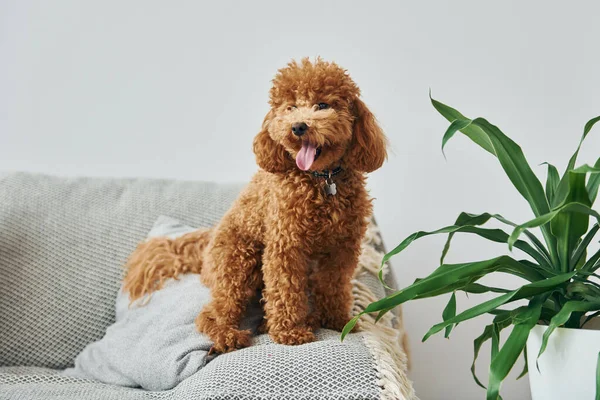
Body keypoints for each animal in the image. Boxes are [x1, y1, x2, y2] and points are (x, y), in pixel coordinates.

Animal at [125, 57, 390, 354]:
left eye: (322, 105)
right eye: (290, 107)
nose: (298, 127)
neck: (322, 180)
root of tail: (207, 247)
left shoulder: (342, 248)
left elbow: (333, 285)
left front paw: (337, 321)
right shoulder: (285, 245)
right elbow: (285, 289)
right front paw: (289, 332)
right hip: (238, 262)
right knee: (212, 312)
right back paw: (229, 336)